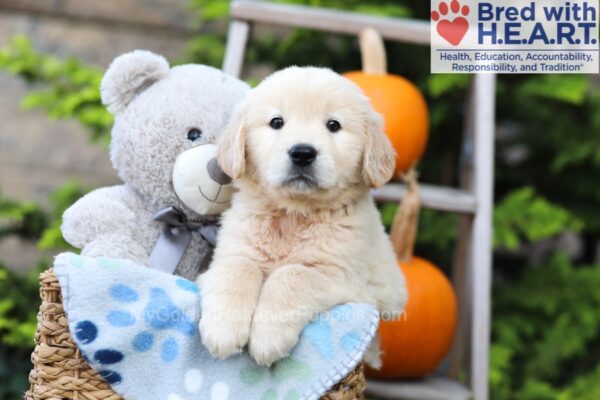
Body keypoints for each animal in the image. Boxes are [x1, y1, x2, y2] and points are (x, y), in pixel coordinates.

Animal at [199, 67, 406, 368]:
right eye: (277, 122)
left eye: (333, 125)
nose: (302, 153)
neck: (293, 215)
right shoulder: (233, 251)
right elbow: (239, 268)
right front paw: (223, 331)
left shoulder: (341, 276)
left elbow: (292, 274)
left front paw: (267, 339)